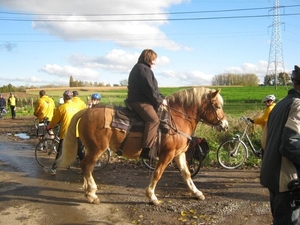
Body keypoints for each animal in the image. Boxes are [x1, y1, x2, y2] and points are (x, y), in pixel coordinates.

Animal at [57, 86, 229, 206]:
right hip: (96, 149)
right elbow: (157, 174)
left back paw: (89, 191)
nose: (225, 125)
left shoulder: (178, 154)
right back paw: (91, 194)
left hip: (93, 150)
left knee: (87, 167)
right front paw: (152, 196)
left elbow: (186, 174)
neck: (177, 119)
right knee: (85, 166)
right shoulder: (167, 154)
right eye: (217, 106)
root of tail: (86, 112)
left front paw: (196, 192)